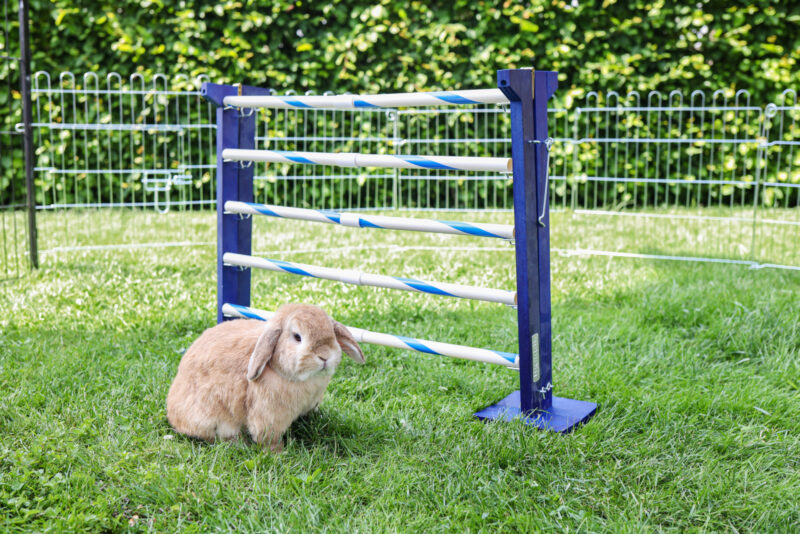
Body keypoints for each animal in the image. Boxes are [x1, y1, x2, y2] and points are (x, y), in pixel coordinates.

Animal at [166, 306, 366, 452]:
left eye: (332, 333)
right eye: (297, 337)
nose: (324, 356)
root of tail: (173, 414)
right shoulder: (268, 415)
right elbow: (267, 436)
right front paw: (279, 452)